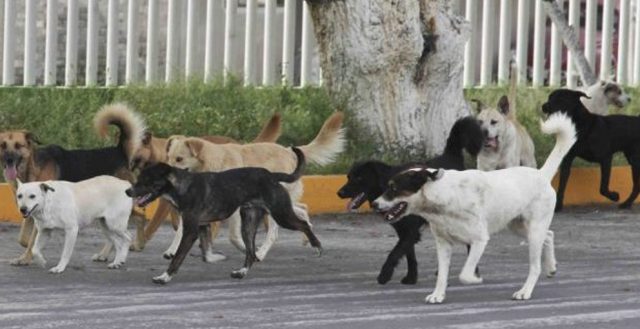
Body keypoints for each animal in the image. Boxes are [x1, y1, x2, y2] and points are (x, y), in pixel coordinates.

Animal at [125, 147, 322, 284]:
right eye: (138, 179)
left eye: (146, 181)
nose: (128, 191)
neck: (182, 186)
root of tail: (272, 175)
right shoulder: (202, 226)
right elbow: (206, 253)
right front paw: (216, 258)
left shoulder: (190, 232)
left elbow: (178, 257)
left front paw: (164, 277)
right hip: (248, 222)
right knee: (251, 253)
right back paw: (241, 272)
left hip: (281, 214)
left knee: (304, 224)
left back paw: (317, 246)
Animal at [129, 113, 282, 251]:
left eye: (134, 150)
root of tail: (240, 144)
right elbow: (176, 223)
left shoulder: (165, 203)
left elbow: (154, 223)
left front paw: (139, 243)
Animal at [166, 111, 344, 260]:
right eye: (168, 157)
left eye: (179, 159)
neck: (211, 163)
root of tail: (288, 151)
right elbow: (181, 230)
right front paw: (172, 250)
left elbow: (233, 236)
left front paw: (248, 250)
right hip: (282, 202)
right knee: (303, 209)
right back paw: (308, 239)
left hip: (275, 206)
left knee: (274, 233)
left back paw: (262, 252)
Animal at [338, 116, 482, 284]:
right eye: (348, 177)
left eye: (359, 178)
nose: (339, 193)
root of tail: (451, 156)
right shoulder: (403, 230)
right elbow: (409, 255)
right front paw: (411, 277)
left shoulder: (410, 231)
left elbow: (394, 253)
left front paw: (384, 275)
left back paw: (473, 272)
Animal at [370, 113, 576, 302]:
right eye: (388, 186)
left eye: (393, 188)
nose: (374, 204)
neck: (444, 196)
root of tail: (542, 174)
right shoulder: (443, 245)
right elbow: (442, 276)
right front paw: (438, 295)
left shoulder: (479, 240)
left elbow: (465, 274)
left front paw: (475, 280)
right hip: (518, 226)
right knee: (549, 235)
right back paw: (551, 267)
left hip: (533, 232)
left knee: (535, 266)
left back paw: (525, 291)